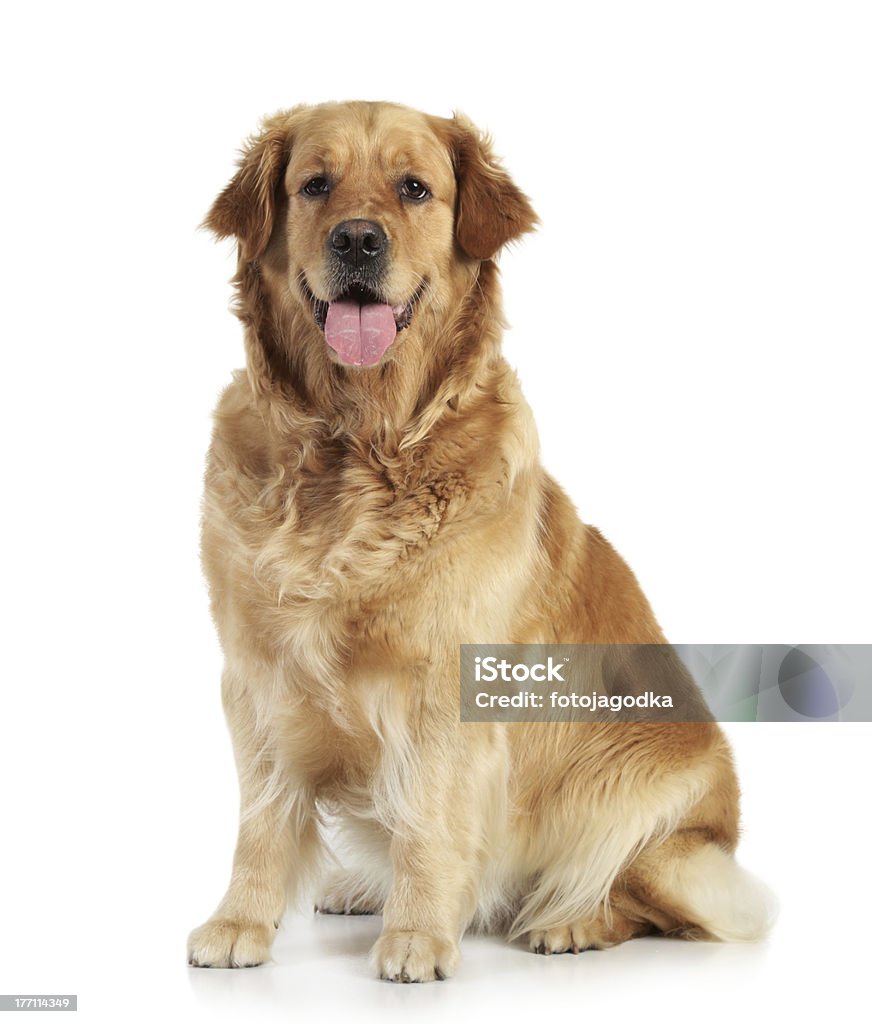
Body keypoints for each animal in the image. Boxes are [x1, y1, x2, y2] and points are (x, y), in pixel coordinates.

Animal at [187, 99, 773, 978]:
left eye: (414, 187)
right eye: (315, 184)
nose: (357, 240)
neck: (355, 450)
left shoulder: (445, 688)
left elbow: (429, 821)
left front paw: (418, 938)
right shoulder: (255, 676)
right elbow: (262, 818)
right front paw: (240, 923)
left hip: (664, 841)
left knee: (628, 896)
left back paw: (568, 922)